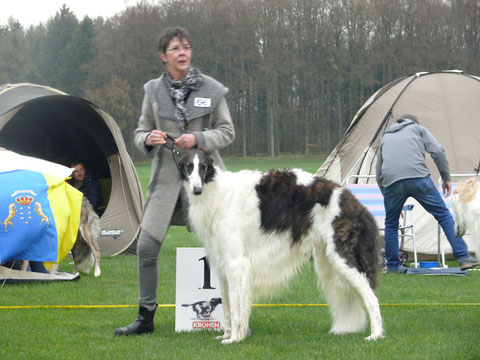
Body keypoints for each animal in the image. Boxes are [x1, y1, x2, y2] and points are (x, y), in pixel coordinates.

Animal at [178, 148, 384, 344]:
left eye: (203, 166)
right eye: (188, 166)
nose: (197, 189)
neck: (218, 193)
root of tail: (355, 202)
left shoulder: (236, 263)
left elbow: (236, 309)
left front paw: (234, 338)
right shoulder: (222, 266)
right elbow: (227, 307)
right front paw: (226, 335)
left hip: (342, 256)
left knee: (372, 297)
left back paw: (375, 335)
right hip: (328, 259)